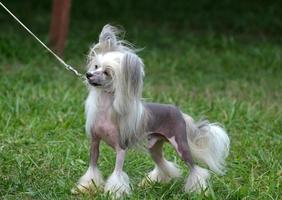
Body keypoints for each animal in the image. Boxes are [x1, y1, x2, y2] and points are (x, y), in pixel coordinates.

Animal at [71, 24, 230, 197]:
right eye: (96, 66)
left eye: (107, 72)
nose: (88, 75)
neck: (105, 110)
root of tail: (179, 112)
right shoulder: (95, 142)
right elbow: (92, 168)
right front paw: (85, 188)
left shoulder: (121, 148)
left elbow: (117, 173)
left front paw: (115, 193)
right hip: (154, 146)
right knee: (162, 163)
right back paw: (156, 181)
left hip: (180, 145)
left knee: (194, 169)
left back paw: (199, 190)